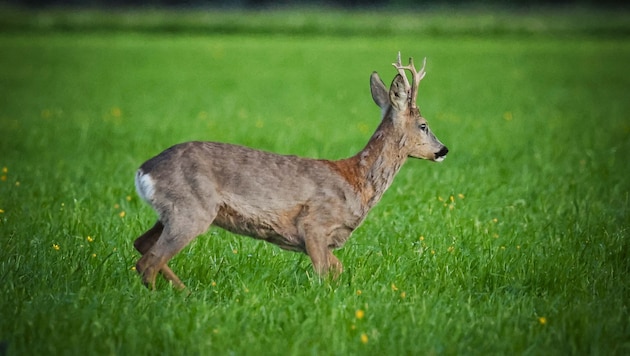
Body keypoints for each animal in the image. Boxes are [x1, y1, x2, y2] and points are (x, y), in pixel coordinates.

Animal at [133, 52, 450, 290]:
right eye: (424, 125)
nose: (443, 150)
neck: (357, 182)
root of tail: (143, 171)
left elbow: (338, 270)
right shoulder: (314, 224)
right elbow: (325, 275)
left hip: (172, 212)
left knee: (141, 246)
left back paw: (185, 292)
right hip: (191, 209)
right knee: (149, 261)